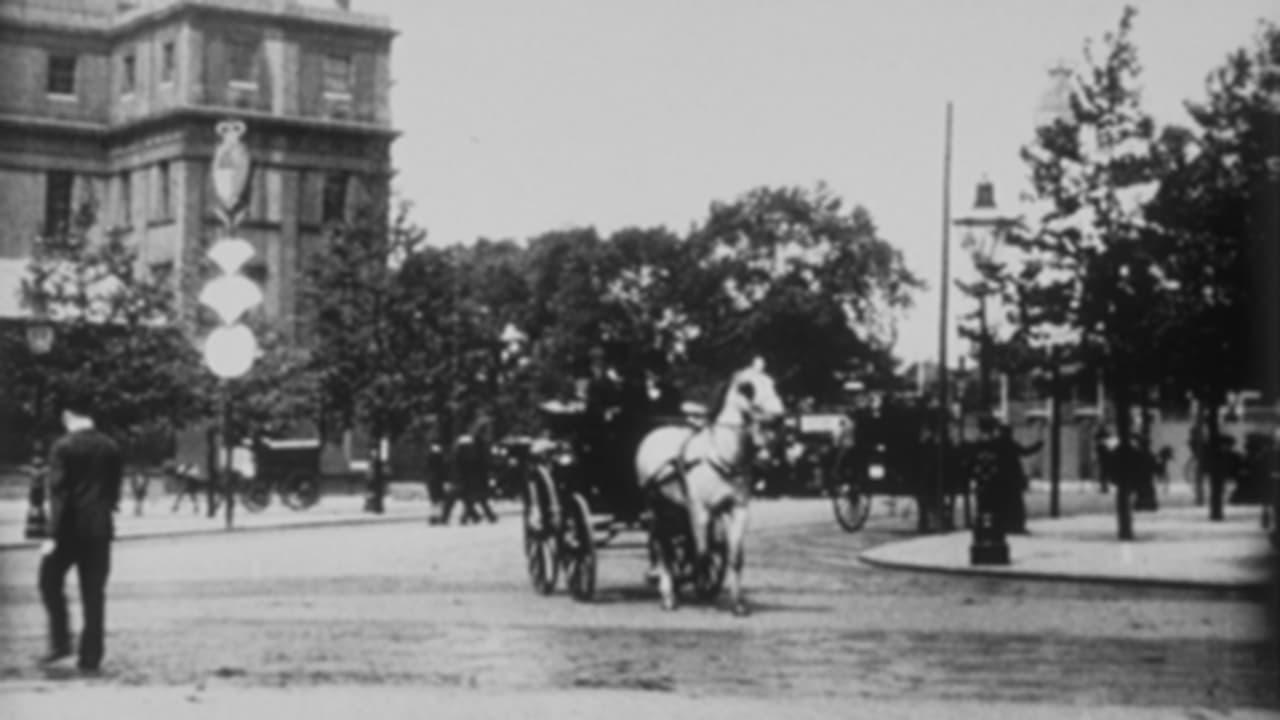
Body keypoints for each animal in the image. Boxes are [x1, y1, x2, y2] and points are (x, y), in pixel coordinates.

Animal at [634, 356, 783, 614]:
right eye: (747, 388)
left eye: (772, 383)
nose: (779, 415)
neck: (721, 456)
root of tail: (654, 433)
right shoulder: (700, 511)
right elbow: (701, 554)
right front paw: (702, 591)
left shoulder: (737, 509)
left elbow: (734, 557)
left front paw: (737, 604)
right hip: (656, 507)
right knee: (663, 546)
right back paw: (667, 593)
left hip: (676, 508)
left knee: (671, 545)